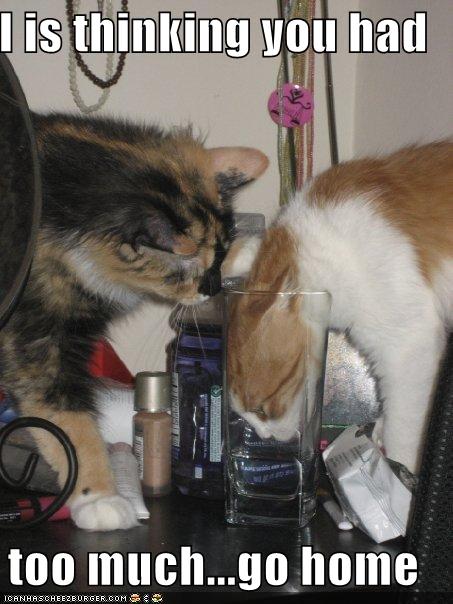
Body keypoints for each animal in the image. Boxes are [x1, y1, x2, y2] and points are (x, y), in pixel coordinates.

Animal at [0, 112, 268, 530]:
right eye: (190, 271)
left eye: (221, 253)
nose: (211, 289)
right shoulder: (38, 338)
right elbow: (68, 422)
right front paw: (98, 497)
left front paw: (255, 248)